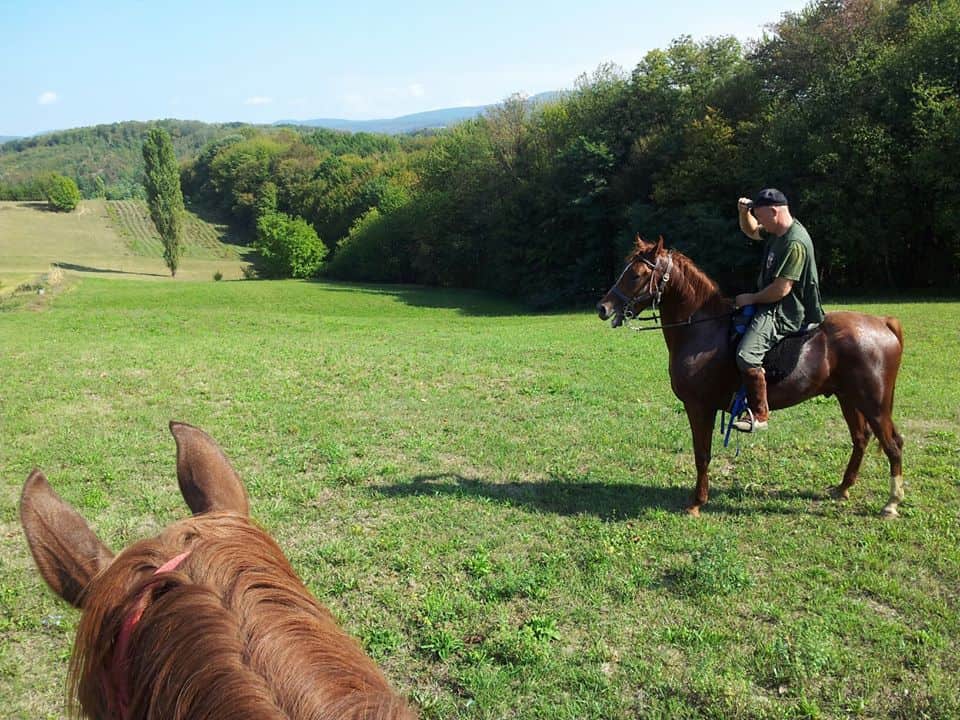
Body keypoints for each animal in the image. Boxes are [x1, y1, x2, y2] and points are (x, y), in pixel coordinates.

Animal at [596, 236, 904, 516]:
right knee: (861, 438)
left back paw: (891, 503)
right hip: (848, 398)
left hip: (874, 404)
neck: (702, 329)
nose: (603, 308)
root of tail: (883, 323)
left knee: (893, 444)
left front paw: (697, 502)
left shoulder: (699, 406)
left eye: (636, 274)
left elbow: (702, 455)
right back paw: (843, 488)